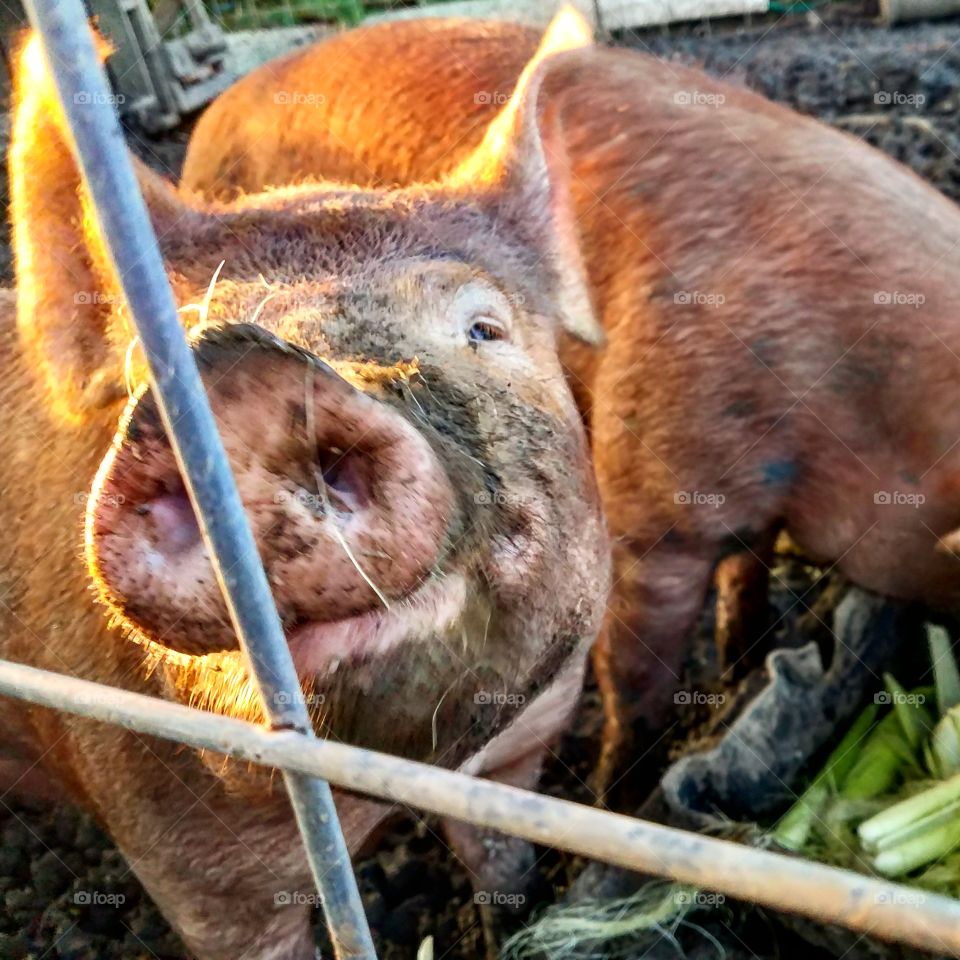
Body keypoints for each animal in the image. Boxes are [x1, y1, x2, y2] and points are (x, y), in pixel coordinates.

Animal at [0, 30, 610, 960]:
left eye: (484, 328)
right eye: (148, 369)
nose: (245, 378)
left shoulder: (530, 738)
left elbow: (500, 860)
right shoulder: (190, 871)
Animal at [182, 11, 960, 777]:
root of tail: (211, 118)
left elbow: (747, 571)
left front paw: (746, 661)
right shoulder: (650, 511)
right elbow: (636, 681)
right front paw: (619, 788)